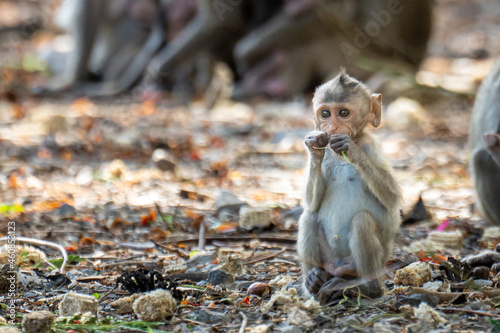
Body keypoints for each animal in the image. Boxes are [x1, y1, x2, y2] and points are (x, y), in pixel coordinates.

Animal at [296, 70, 402, 304]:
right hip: (329, 260)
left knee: (362, 220)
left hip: (373, 262)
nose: (332, 128)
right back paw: (313, 280)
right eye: (325, 113)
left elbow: (393, 198)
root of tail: (339, 267)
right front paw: (313, 146)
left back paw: (366, 287)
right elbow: (311, 204)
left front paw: (351, 149)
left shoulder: (372, 147)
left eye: (343, 113)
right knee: (309, 216)